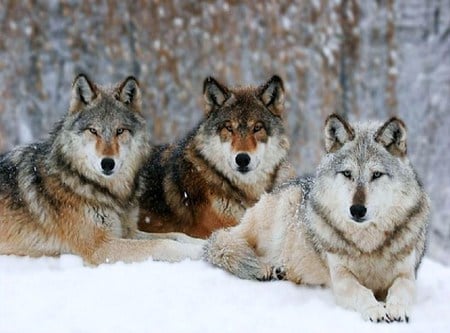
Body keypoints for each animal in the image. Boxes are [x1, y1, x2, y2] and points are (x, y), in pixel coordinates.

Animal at [0, 73, 204, 264]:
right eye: (93, 131)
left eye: (120, 131)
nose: (107, 163)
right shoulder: (100, 247)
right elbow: (163, 244)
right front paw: (198, 252)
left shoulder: (127, 231)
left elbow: (177, 235)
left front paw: (203, 241)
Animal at [204, 113, 428, 322]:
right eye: (347, 173)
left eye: (376, 174)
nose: (357, 210)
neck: (367, 245)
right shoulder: (341, 278)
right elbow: (362, 292)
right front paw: (376, 310)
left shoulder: (406, 275)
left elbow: (400, 290)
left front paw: (396, 309)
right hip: (280, 210)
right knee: (231, 243)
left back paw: (280, 271)